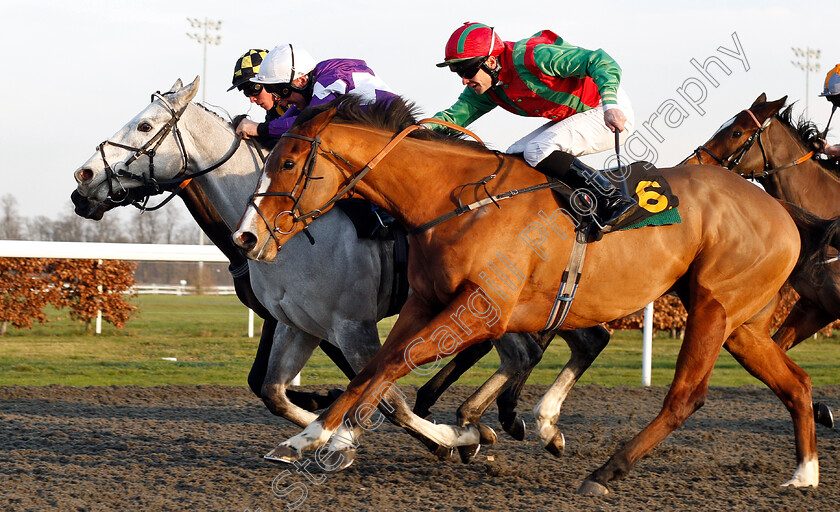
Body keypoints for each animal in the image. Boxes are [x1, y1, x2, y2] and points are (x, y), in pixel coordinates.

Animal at [72, 78, 612, 462]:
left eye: (144, 127)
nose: (83, 181)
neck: (291, 234)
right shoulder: (294, 322)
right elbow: (272, 389)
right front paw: (333, 427)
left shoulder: (350, 324)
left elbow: (383, 392)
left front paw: (442, 438)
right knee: (538, 346)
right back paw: (503, 418)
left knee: (545, 344)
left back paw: (495, 418)